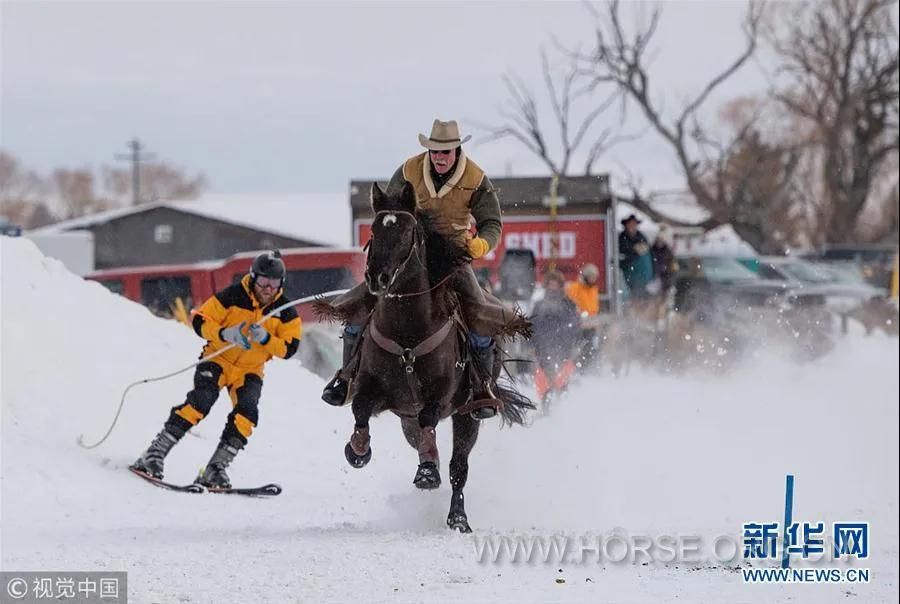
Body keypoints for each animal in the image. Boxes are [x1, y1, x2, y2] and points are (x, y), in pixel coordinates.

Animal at [326, 180, 532, 532]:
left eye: (407, 231)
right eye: (374, 231)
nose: (376, 277)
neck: (407, 331)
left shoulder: (440, 396)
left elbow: (430, 418)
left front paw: (427, 474)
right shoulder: (374, 389)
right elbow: (360, 408)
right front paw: (358, 450)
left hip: (468, 415)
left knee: (458, 466)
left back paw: (457, 515)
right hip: (405, 418)